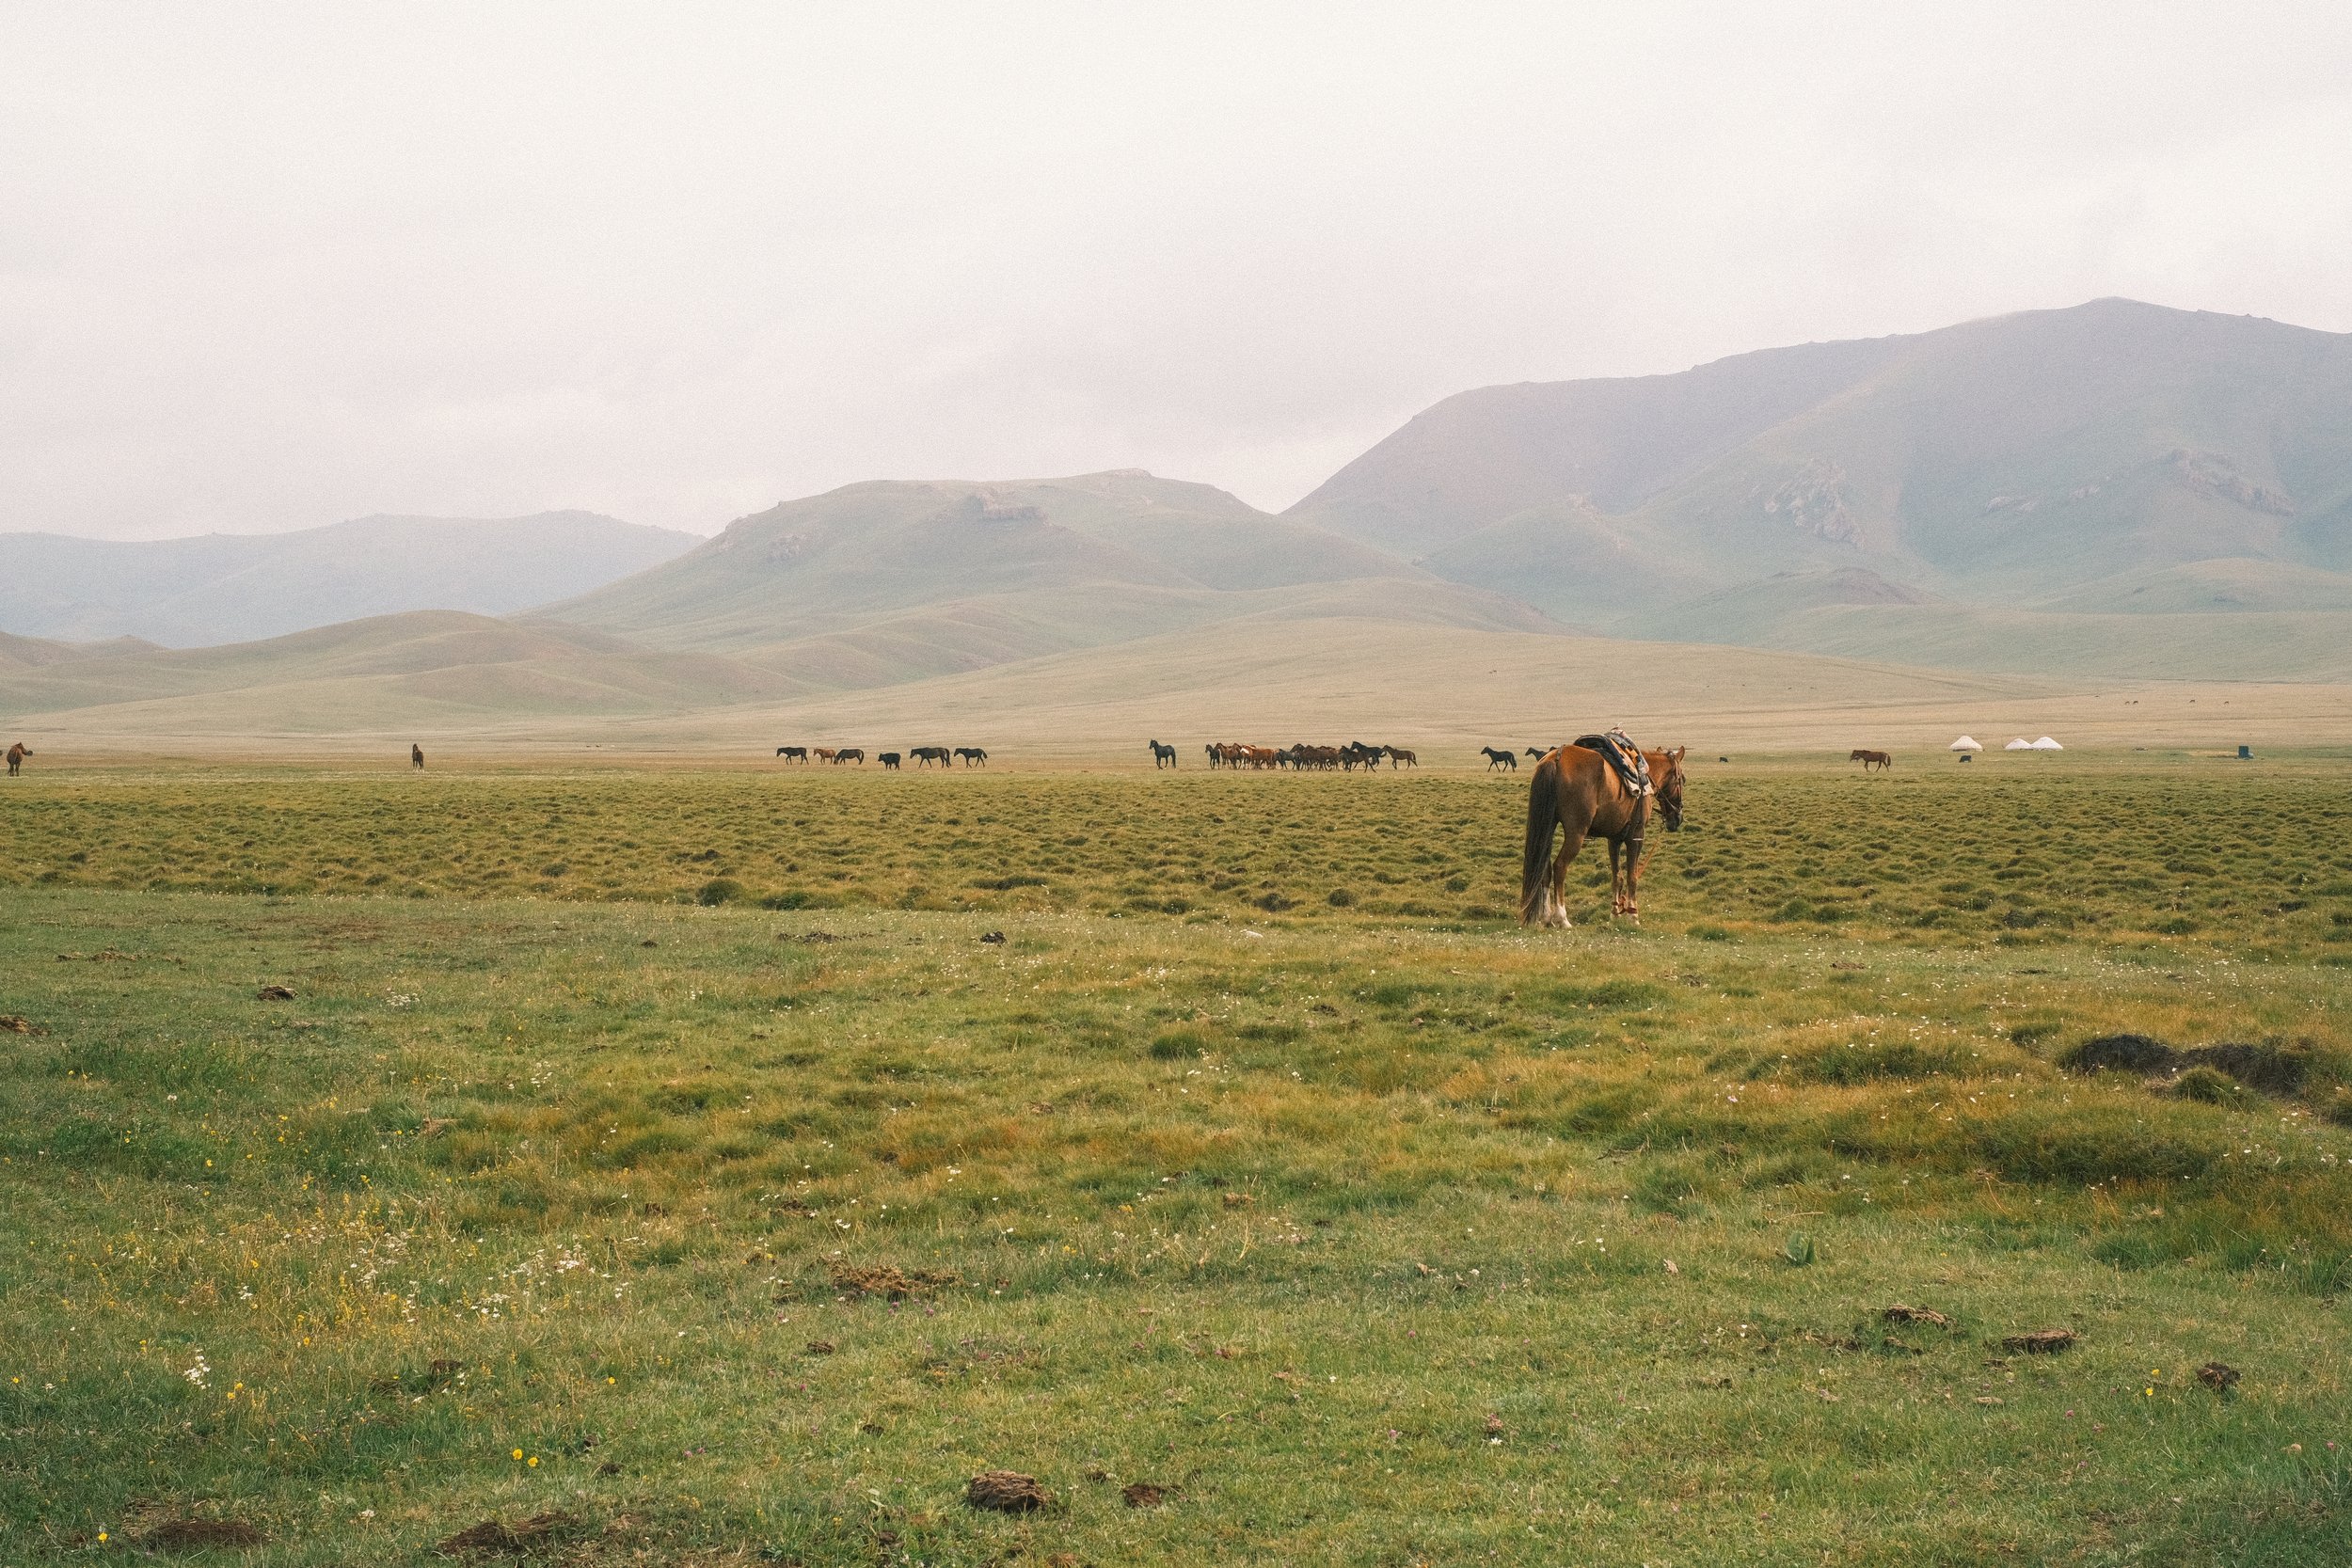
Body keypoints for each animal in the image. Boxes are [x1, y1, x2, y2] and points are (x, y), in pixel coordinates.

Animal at [1521, 740, 1686, 927]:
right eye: (1682, 780)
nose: (1677, 818)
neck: (1645, 775)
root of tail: (1555, 759)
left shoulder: (1614, 839)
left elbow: (1617, 877)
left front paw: (1614, 913)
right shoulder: (1636, 837)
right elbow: (1632, 877)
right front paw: (1633, 915)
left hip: (1548, 827)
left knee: (1545, 868)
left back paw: (1546, 917)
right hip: (1576, 833)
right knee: (1560, 866)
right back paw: (1562, 918)